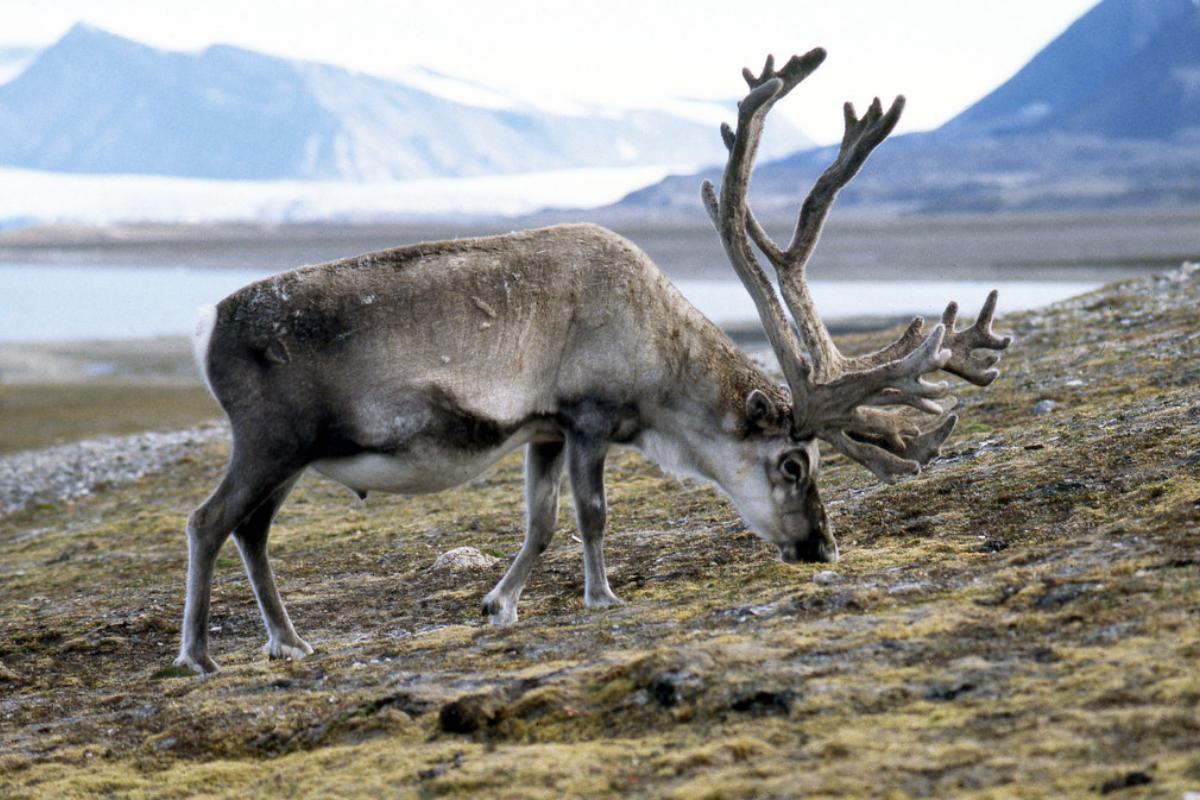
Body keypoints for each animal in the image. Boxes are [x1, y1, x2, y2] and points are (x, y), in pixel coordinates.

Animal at [175, 49, 1011, 675]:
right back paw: (199, 655)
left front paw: (499, 605)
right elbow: (592, 514)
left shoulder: (542, 430)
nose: (823, 547)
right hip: (269, 440)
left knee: (251, 530)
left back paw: (289, 640)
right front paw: (602, 597)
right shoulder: (589, 417)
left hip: (295, 457)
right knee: (208, 520)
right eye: (793, 463)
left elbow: (541, 523)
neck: (660, 364)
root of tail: (204, 327)